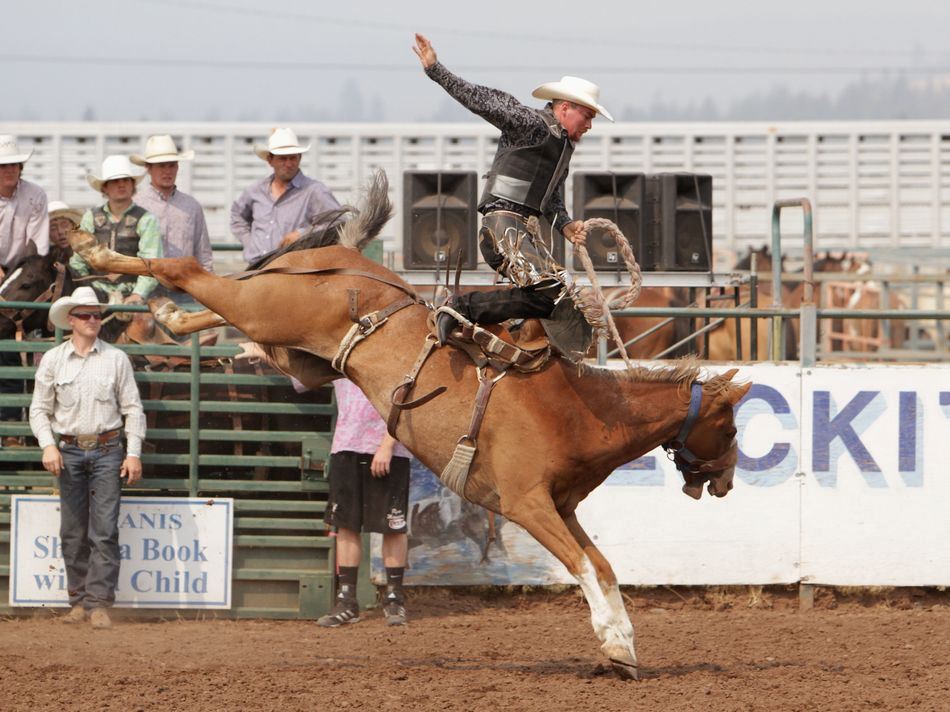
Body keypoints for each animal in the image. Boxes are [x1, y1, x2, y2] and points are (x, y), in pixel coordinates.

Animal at [68, 171, 750, 680]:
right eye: (733, 430)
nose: (724, 484)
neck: (579, 409)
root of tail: (340, 256)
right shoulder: (528, 505)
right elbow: (585, 566)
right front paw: (615, 643)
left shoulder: (563, 508)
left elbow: (603, 565)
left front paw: (623, 646)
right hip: (265, 306)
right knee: (188, 269)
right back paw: (92, 248)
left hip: (290, 344)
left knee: (214, 306)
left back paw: (165, 315)